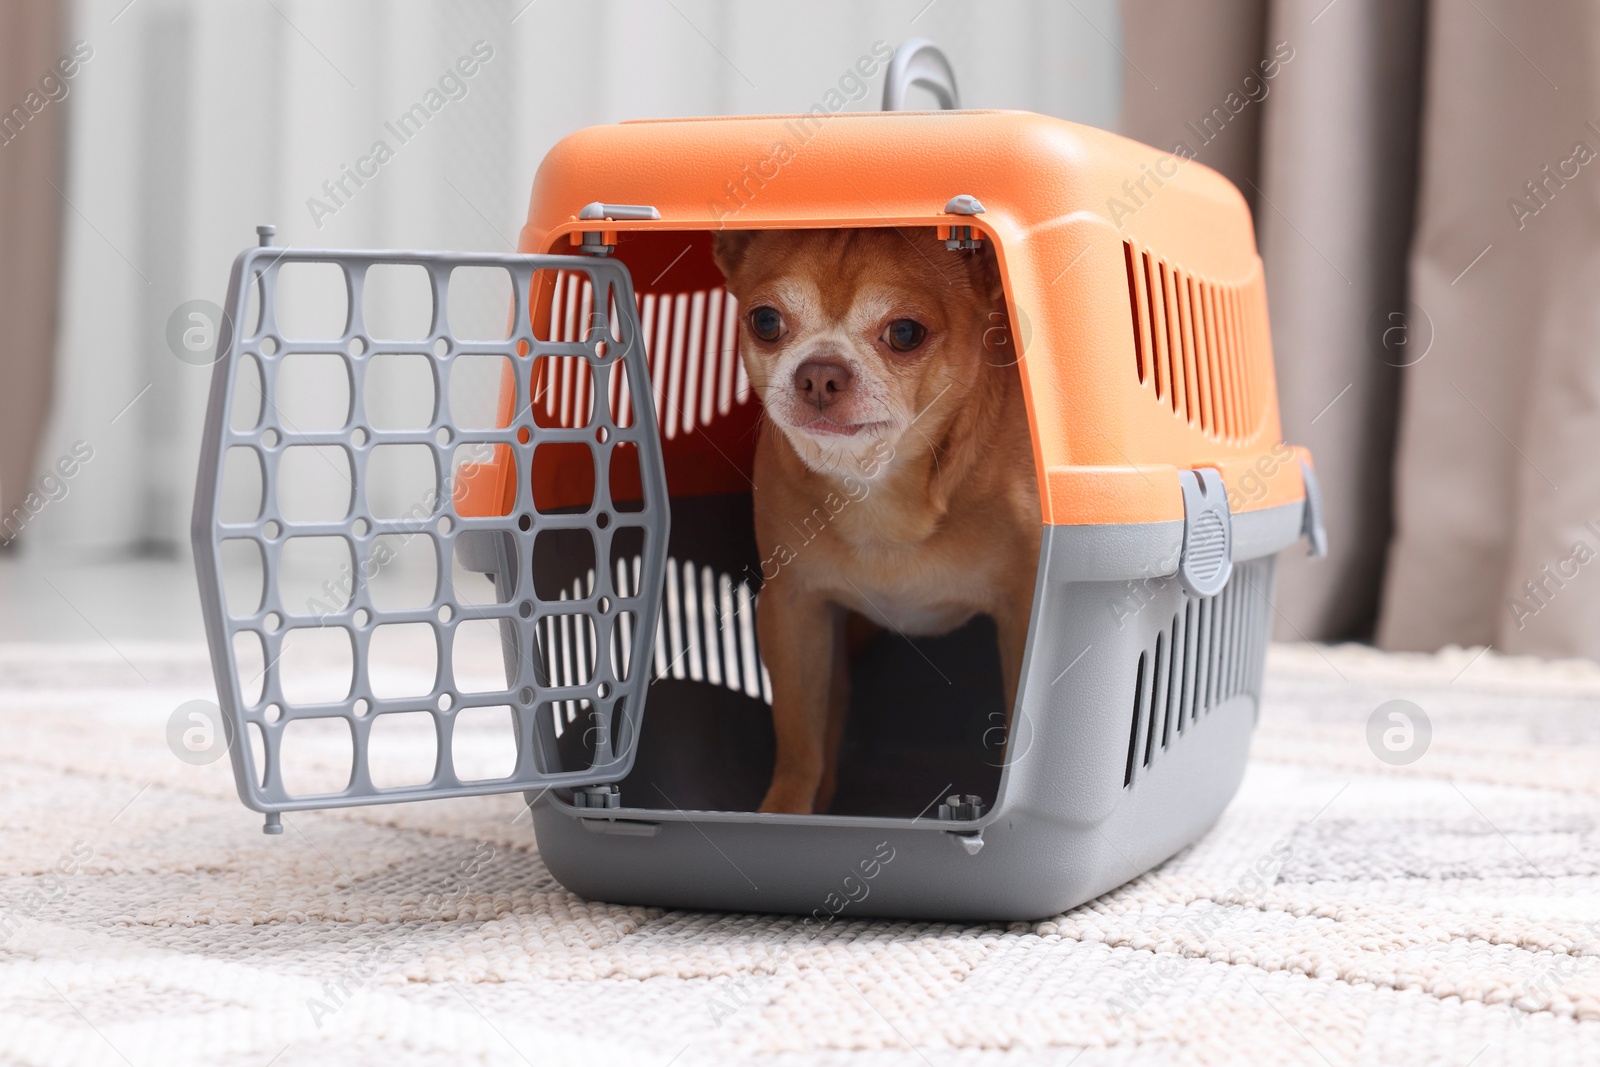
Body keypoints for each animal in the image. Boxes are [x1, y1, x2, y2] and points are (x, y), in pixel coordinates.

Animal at [716, 230, 1043, 819]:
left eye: (905, 333)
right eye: (766, 321)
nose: (820, 372)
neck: (878, 484)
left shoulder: (1022, 613)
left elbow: (1020, 716)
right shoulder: (794, 610)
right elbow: (799, 735)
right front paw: (783, 814)